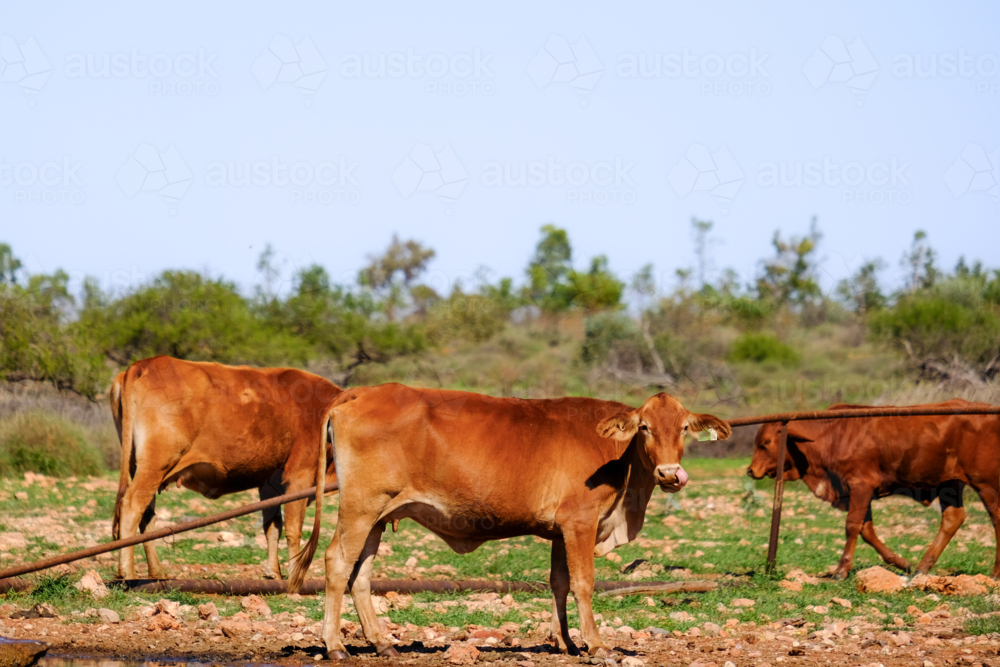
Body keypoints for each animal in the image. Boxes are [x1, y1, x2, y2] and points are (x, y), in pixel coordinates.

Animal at [110, 355, 341, 580]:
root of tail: (145, 363)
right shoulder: (300, 474)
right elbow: (293, 529)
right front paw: (294, 575)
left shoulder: (268, 483)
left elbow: (272, 527)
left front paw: (273, 572)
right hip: (155, 465)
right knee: (131, 507)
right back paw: (128, 573)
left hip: (141, 468)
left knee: (146, 515)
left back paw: (157, 573)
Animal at [288, 384, 731, 659]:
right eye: (645, 427)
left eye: (685, 428)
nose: (670, 474)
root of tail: (362, 391)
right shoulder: (580, 522)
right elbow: (583, 584)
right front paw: (595, 643)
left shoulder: (561, 531)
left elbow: (559, 582)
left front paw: (564, 641)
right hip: (360, 507)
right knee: (337, 563)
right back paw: (334, 645)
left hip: (379, 516)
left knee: (360, 574)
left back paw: (382, 643)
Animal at [747, 400, 1000, 580]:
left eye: (765, 443)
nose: (751, 470)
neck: (831, 435)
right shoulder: (857, 491)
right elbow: (866, 530)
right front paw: (902, 563)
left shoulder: (860, 485)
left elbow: (852, 526)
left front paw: (841, 571)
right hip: (951, 483)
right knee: (952, 518)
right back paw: (922, 567)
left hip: (986, 483)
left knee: (996, 518)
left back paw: (995, 573)